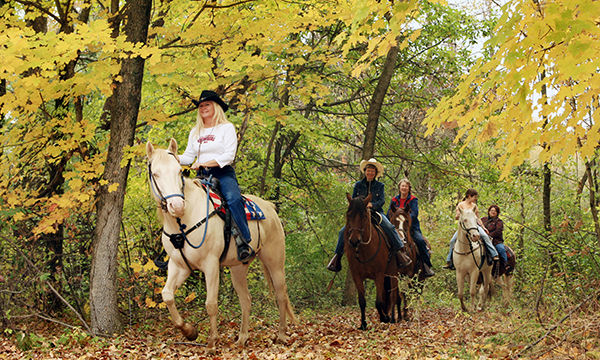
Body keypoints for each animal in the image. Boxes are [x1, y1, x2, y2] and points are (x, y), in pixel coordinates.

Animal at [342, 194, 398, 330]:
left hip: (392, 273)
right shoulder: (356, 275)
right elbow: (362, 301)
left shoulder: (379, 274)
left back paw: (392, 318)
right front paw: (363, 323)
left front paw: (385, 317)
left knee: (393, 295)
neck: (364, 249)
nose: (354, 240)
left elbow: (378, 302)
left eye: (363, 216)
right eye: (349, 214)